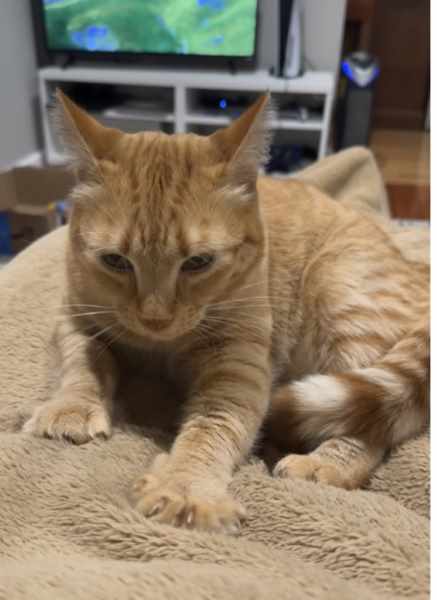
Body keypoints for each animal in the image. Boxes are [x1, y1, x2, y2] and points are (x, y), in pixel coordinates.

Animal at [23, 91, 426, 532]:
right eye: (115, 261)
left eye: (198, 262)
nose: (155, 319)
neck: (159, 347)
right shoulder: (76, 320)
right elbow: (83, 364)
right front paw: (72, 408)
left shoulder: (238, 369)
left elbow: (210, 429)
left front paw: (184, 488)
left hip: (342, 293)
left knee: (371, 423)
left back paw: (323, 465)